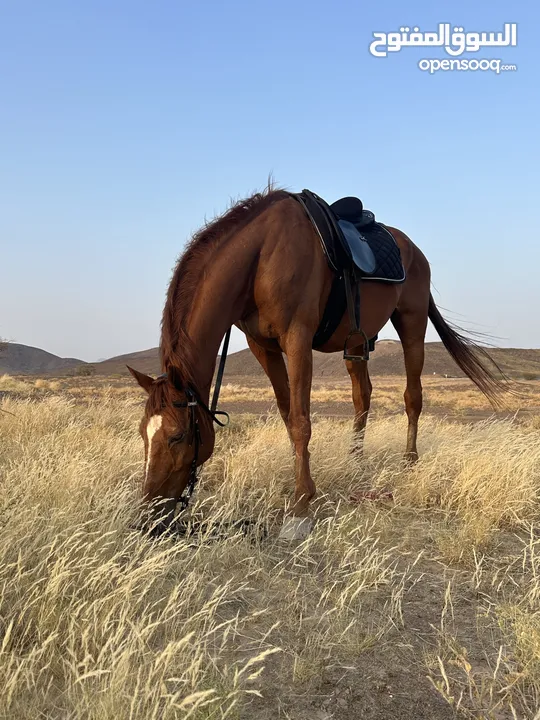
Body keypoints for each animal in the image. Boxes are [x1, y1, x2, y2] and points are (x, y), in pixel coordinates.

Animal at [129, 188, 504, 536]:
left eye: (177, 436)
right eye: (143, 434)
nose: (147, 518)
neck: (260, 259)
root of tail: (414, 250)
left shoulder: (297, 339)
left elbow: (300, 420)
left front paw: (300, 507)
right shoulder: (262, 345)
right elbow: (287, 413)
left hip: (412, 324)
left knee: (413, 396)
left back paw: (409, 463)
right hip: (358, 341)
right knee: (362, 395)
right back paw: (355, 463)